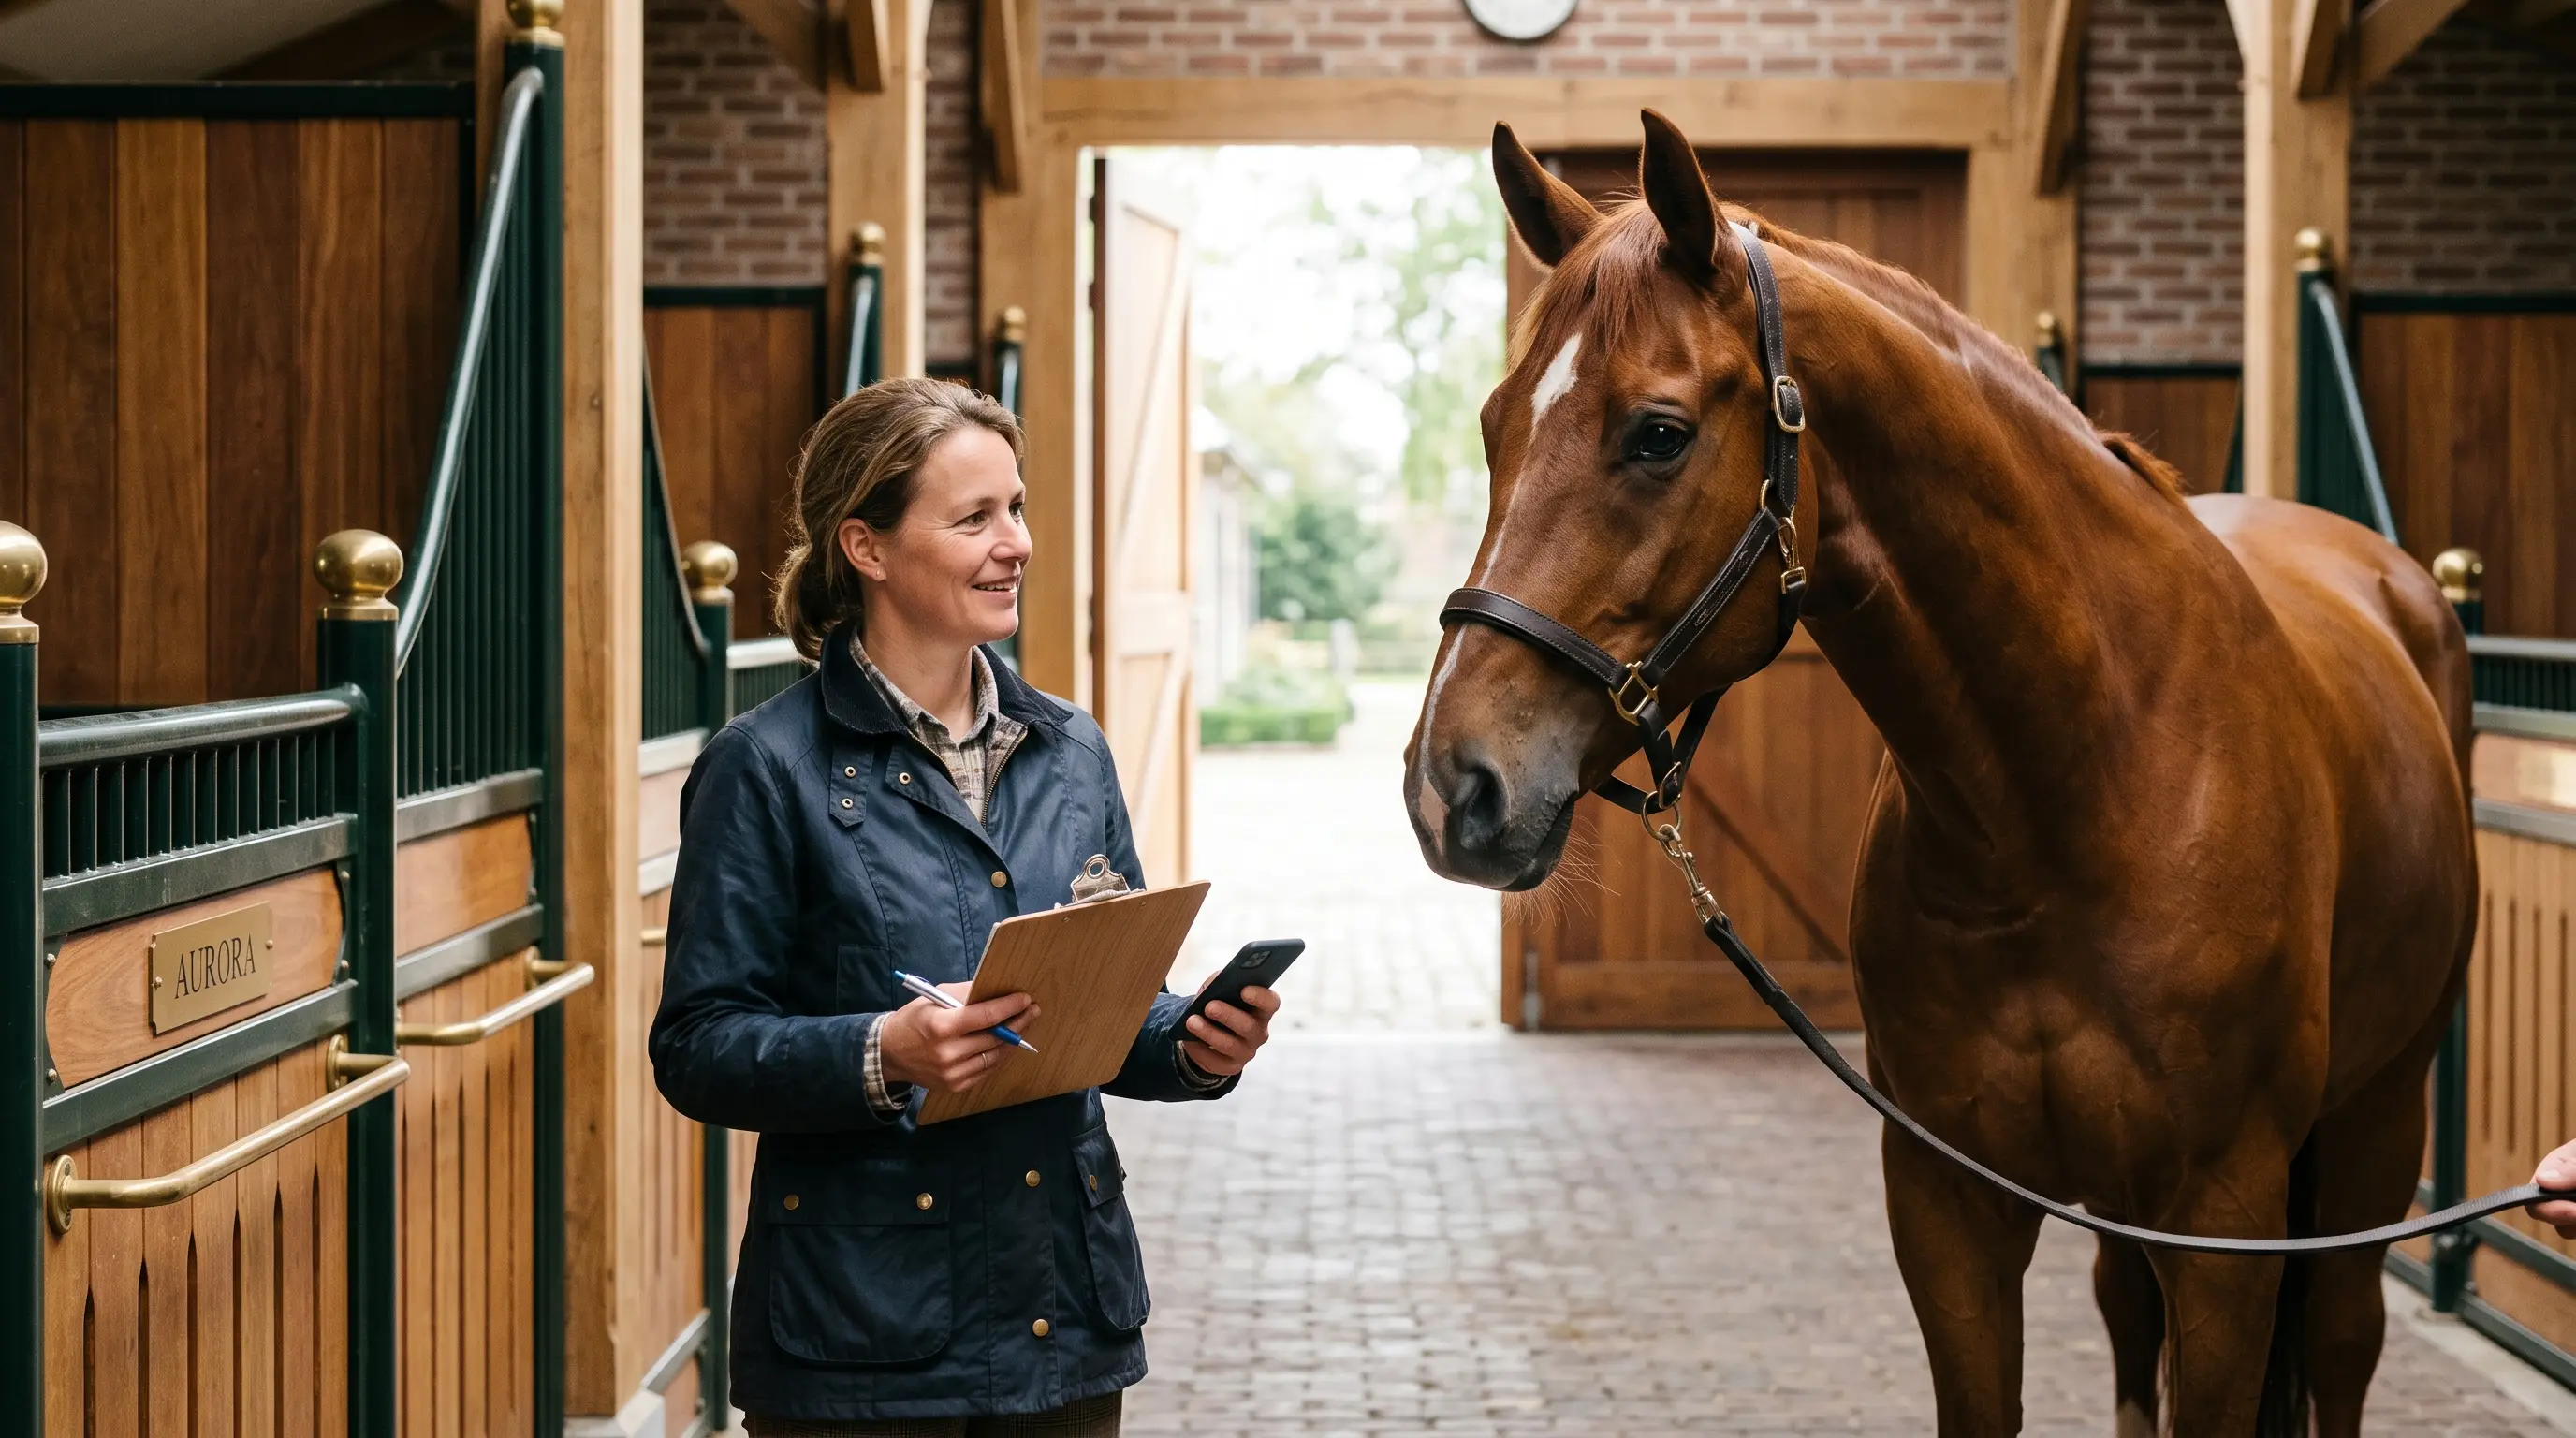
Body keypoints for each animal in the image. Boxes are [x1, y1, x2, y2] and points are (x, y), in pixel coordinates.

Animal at [1405, 111, 2477, 1436]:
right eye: (1495, 425)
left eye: (1657, 433)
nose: (1453, 785)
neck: (2078, 796)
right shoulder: (1947, 1200)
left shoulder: (2224, 1224)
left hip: (2375, 1125)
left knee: (2339, 1342)